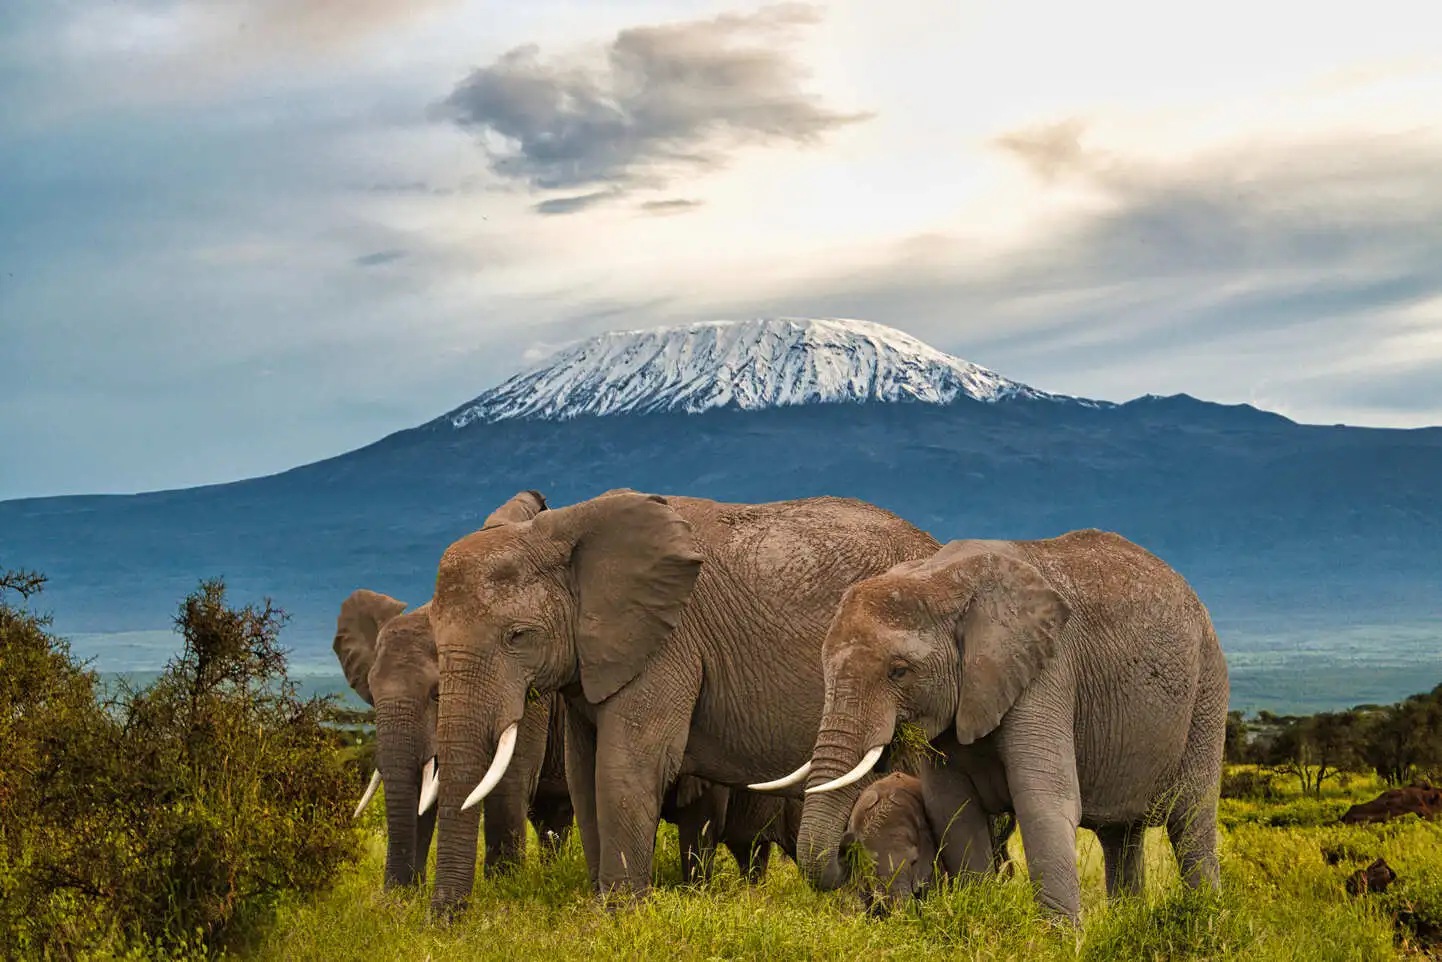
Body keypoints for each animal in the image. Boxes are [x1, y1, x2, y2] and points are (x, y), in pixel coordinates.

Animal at [425, 489, 940, 913]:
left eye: (518, 636)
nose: (447, 920)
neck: (565, 530)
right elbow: (583, 772)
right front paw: (601, 908)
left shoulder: (668, 644)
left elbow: (626, 766)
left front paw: (620, 916)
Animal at [786, 531, 1229, 922]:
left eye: (899, 671)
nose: (846, 848)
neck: (940, 578)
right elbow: (953, 809)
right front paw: (982, 918)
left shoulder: (1048, 670)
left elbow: (1043, 800)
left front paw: (1058, 943)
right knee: (1120, 834)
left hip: (1208, 689)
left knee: (1191, 820)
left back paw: (1204, 918)